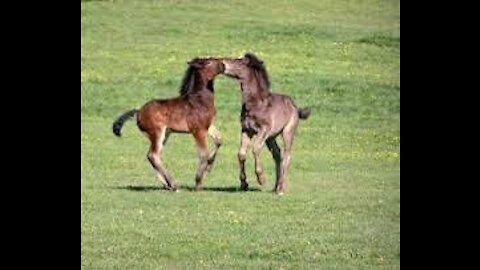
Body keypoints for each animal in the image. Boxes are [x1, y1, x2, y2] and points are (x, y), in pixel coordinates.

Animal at [112, 57, 225, 191]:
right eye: (208, 61)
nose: (223, 65)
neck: (198, 99)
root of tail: (138, 112)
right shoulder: (198, 130)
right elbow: (203, 153)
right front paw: (198, 183)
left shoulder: (208, 125)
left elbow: (219, 139)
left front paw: (209, 167)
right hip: (157, 132)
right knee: (153, 155)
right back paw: (173, 184)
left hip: (165, 134)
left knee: (154, 155)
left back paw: (167, 184)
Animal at [222, 53, 312, 195]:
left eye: (239, 61)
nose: (223, 63)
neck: (256, 103)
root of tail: (295, 108)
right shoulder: (246, 130)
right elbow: (241, 153)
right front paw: (243, 184)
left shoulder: (263, 130)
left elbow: (255, 148)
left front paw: (261, 179)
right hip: (271, 137)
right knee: (277, 154)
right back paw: (275, 187)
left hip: (287, 132)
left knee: (286, 156)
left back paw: (281, 189)